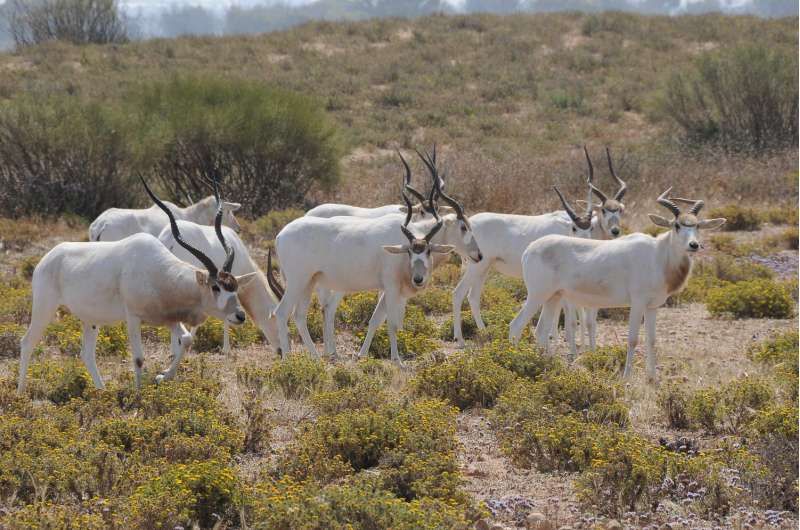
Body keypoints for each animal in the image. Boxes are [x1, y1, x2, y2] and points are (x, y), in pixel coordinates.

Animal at [450, 146, 624, 348]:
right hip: (476, 266)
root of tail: (468, 223)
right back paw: (460, 339)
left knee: (473, 297)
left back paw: (485, 333)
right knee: (458, 294)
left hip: (483, 267)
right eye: (604, 210)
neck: (567, 227)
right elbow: (569, 314)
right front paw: (560, 342)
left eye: (620, 210)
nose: (615, 231)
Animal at [512, 190, 724, 380]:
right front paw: (626, 377)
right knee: (516, 325)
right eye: (677, 225)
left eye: (697, 225)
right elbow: (633, 339)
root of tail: (529, 249)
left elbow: (652, 341)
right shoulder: (637, 303)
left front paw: (653, 379)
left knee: (541, 331)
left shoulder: (653, 307)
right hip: (537, 296)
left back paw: (545, 366)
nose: (693, 245)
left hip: (553, 298)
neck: (658, 255)